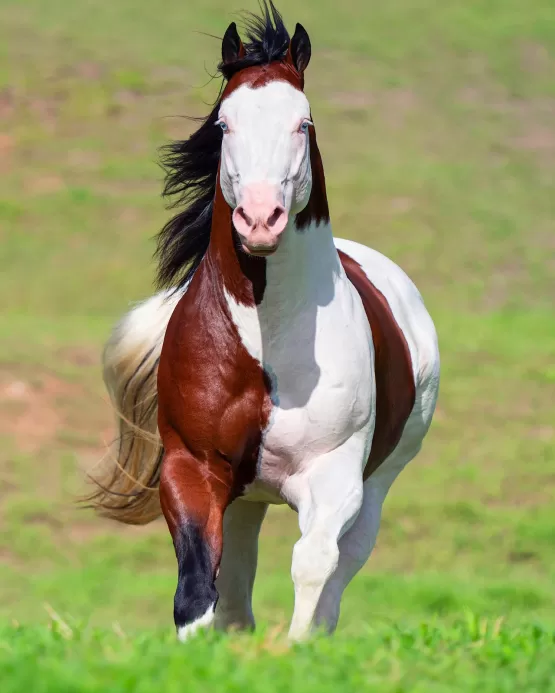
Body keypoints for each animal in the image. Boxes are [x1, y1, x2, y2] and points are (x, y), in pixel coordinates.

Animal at [89, 1, 440, 644]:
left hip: (380, 479)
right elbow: (199, 580)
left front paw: (298, 650)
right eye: (224, 125)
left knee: (345, 562)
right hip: (246, 495)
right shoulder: (193, 467)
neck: (266, 345)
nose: (259, 218)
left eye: (304, 123)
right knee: (237, 578)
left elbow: (313, 564)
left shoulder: (334, 476)